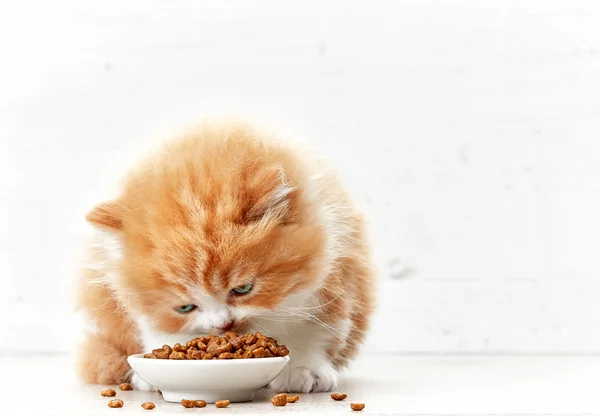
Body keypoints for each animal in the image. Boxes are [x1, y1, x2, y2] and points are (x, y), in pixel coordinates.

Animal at [77, 121, 372, 394]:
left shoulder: (337, 273)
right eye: (185, 307)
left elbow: (313, 329)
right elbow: (157, 329)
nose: (223, 325)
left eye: (243, 289)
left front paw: (303, 368)